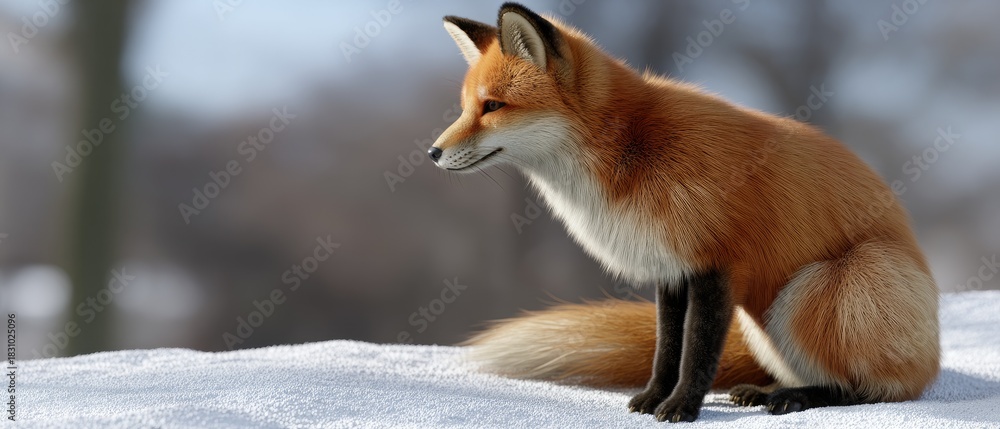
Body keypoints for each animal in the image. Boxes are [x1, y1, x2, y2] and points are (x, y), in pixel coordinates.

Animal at [428, 3, 940, 423]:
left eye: (493, 106)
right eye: (466, 108)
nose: (432, 153)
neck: (633, 151)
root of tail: (933, 354)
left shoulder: (718, 263)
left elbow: (697, 351)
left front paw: (682, 407)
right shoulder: (671, 267)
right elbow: (667, 349)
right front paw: (654, 398)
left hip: (819, 289)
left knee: (876, 389)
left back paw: (799, 395)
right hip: (766, 323)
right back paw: (765, 389)